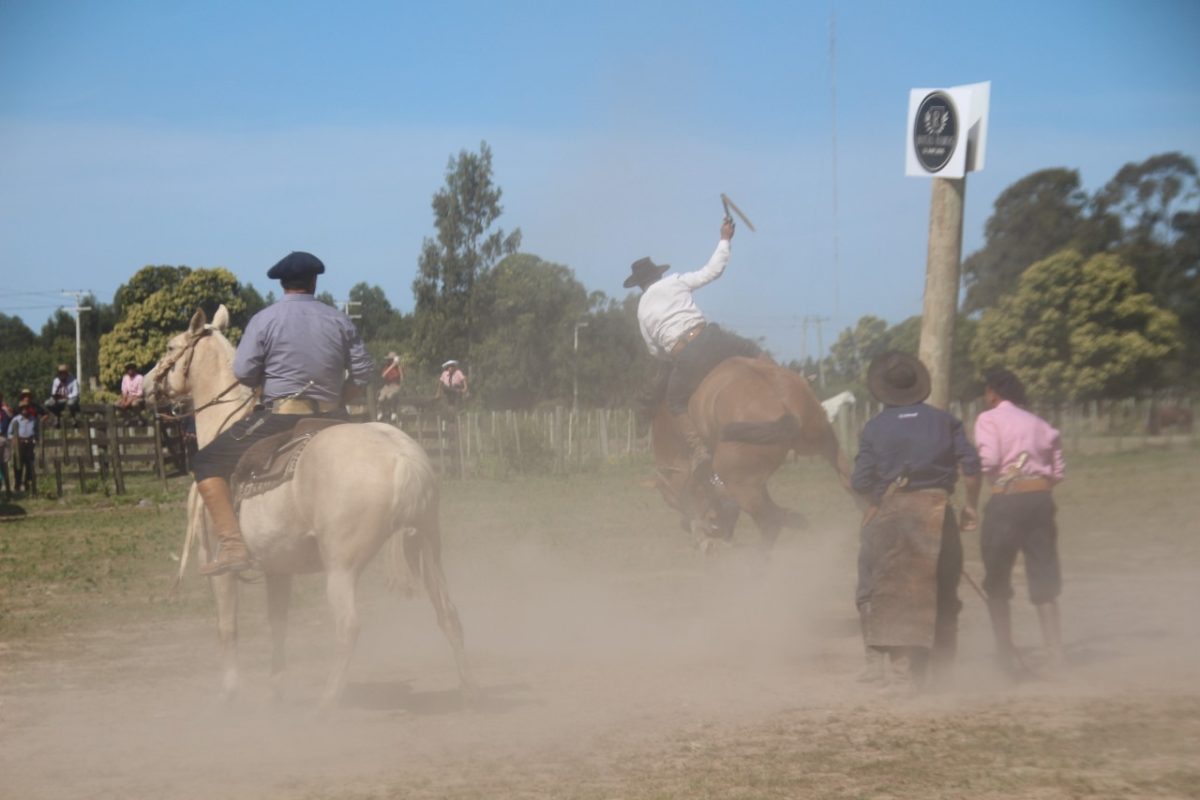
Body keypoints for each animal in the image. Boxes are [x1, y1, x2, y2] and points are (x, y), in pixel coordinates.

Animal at [145, 307, 472, 714]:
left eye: (170, 347)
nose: (144, 384)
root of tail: (402, 457)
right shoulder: (278, 566)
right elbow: (278, 625)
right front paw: (276, 690)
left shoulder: (216, 564)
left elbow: (227, 627)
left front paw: (229, 693)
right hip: (427, 547)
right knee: (449, 613)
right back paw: (469, 691)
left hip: (342, 567)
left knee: (349, 627)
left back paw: (326, 704)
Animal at [657, 357, 854, 554]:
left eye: (673, 500)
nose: (686, 525)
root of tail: (782, 403)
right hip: (823, 442)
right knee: (847, 478)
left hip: (741, 486)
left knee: (769, 524)